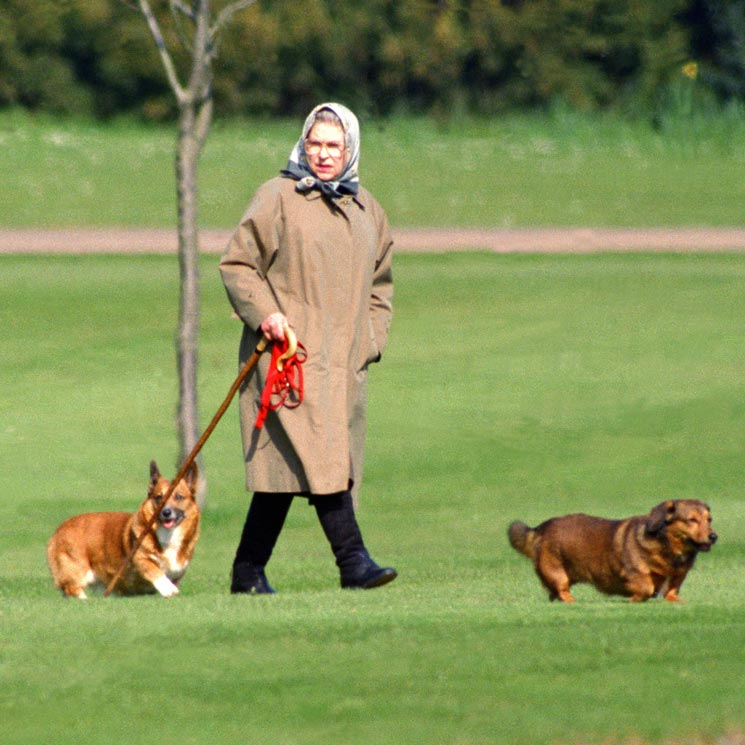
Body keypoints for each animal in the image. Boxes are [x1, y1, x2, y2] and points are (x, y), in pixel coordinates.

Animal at [46, 460, 201, 600]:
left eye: (179, 496)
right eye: (159, 497)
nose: (166, 512)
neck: (168, 536)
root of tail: (59, 530)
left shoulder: (178, 571)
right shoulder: (139, 559)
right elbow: (154, 570)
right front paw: (168, 589)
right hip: (78, 571)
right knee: (72, 589)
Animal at [506, 496, 716, 600]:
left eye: (709, 520)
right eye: (692, 520)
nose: (714, 537)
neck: (669, 549)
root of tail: (541, 528)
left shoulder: (675, 581)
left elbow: (671, 593)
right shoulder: (634, 573)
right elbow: (646, 587)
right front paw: (634, 599)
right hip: (558, 575)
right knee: (562, 593)